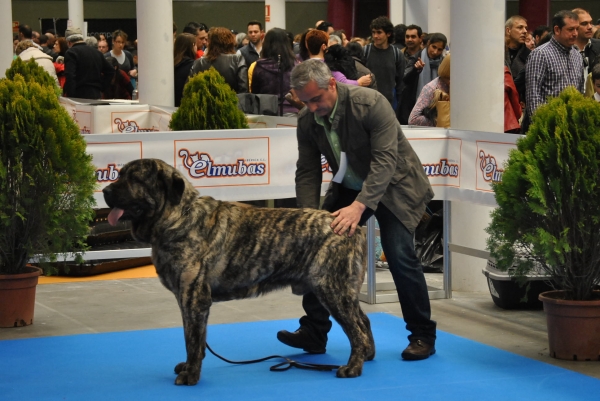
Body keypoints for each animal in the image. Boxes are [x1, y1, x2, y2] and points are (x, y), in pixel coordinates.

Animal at [103, 157, 376, 384]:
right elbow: (193, 338)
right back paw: (368, 356)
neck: (177, 217)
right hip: (341, 290)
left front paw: (191, 375)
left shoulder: (193, 298)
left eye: (134, 179)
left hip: (332, 289)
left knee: (356, 330)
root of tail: (352, 227)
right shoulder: (185, 299)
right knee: (364, 320)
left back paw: (352, 367)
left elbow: (193, 340)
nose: (105, 191)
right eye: (120, 174)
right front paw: (187, 367)